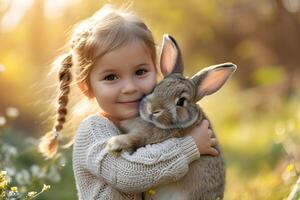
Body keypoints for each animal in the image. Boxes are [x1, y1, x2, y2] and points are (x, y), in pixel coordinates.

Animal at [106, 34, 237, 200]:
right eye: (156, 87)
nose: (152, 109)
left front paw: (114, 144)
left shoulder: (150, 138)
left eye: (181, 102)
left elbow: (136, 139)